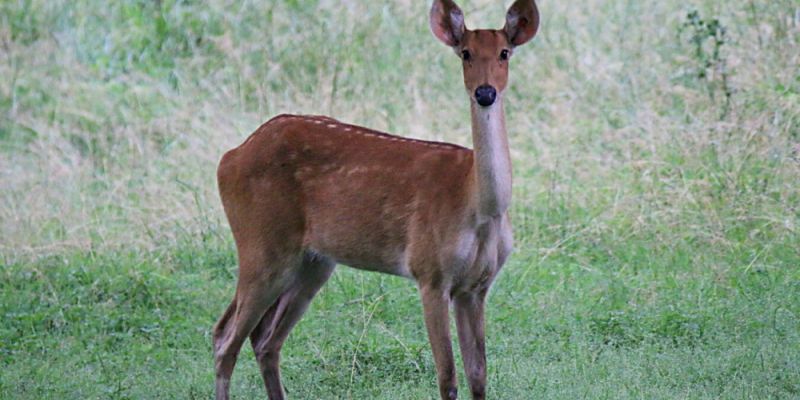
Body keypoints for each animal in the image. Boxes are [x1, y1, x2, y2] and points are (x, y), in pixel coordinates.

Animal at [209, 1, 540, 398]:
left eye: (505, 53)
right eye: (465, 53)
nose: (485, 92)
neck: (479, 205)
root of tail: (230, 156)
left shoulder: (477, 286)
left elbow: (479, 376)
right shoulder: (429, 271)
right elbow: (448, 376)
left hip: (312, 262)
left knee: (264, 339)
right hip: (261, 244)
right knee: (225, 338)